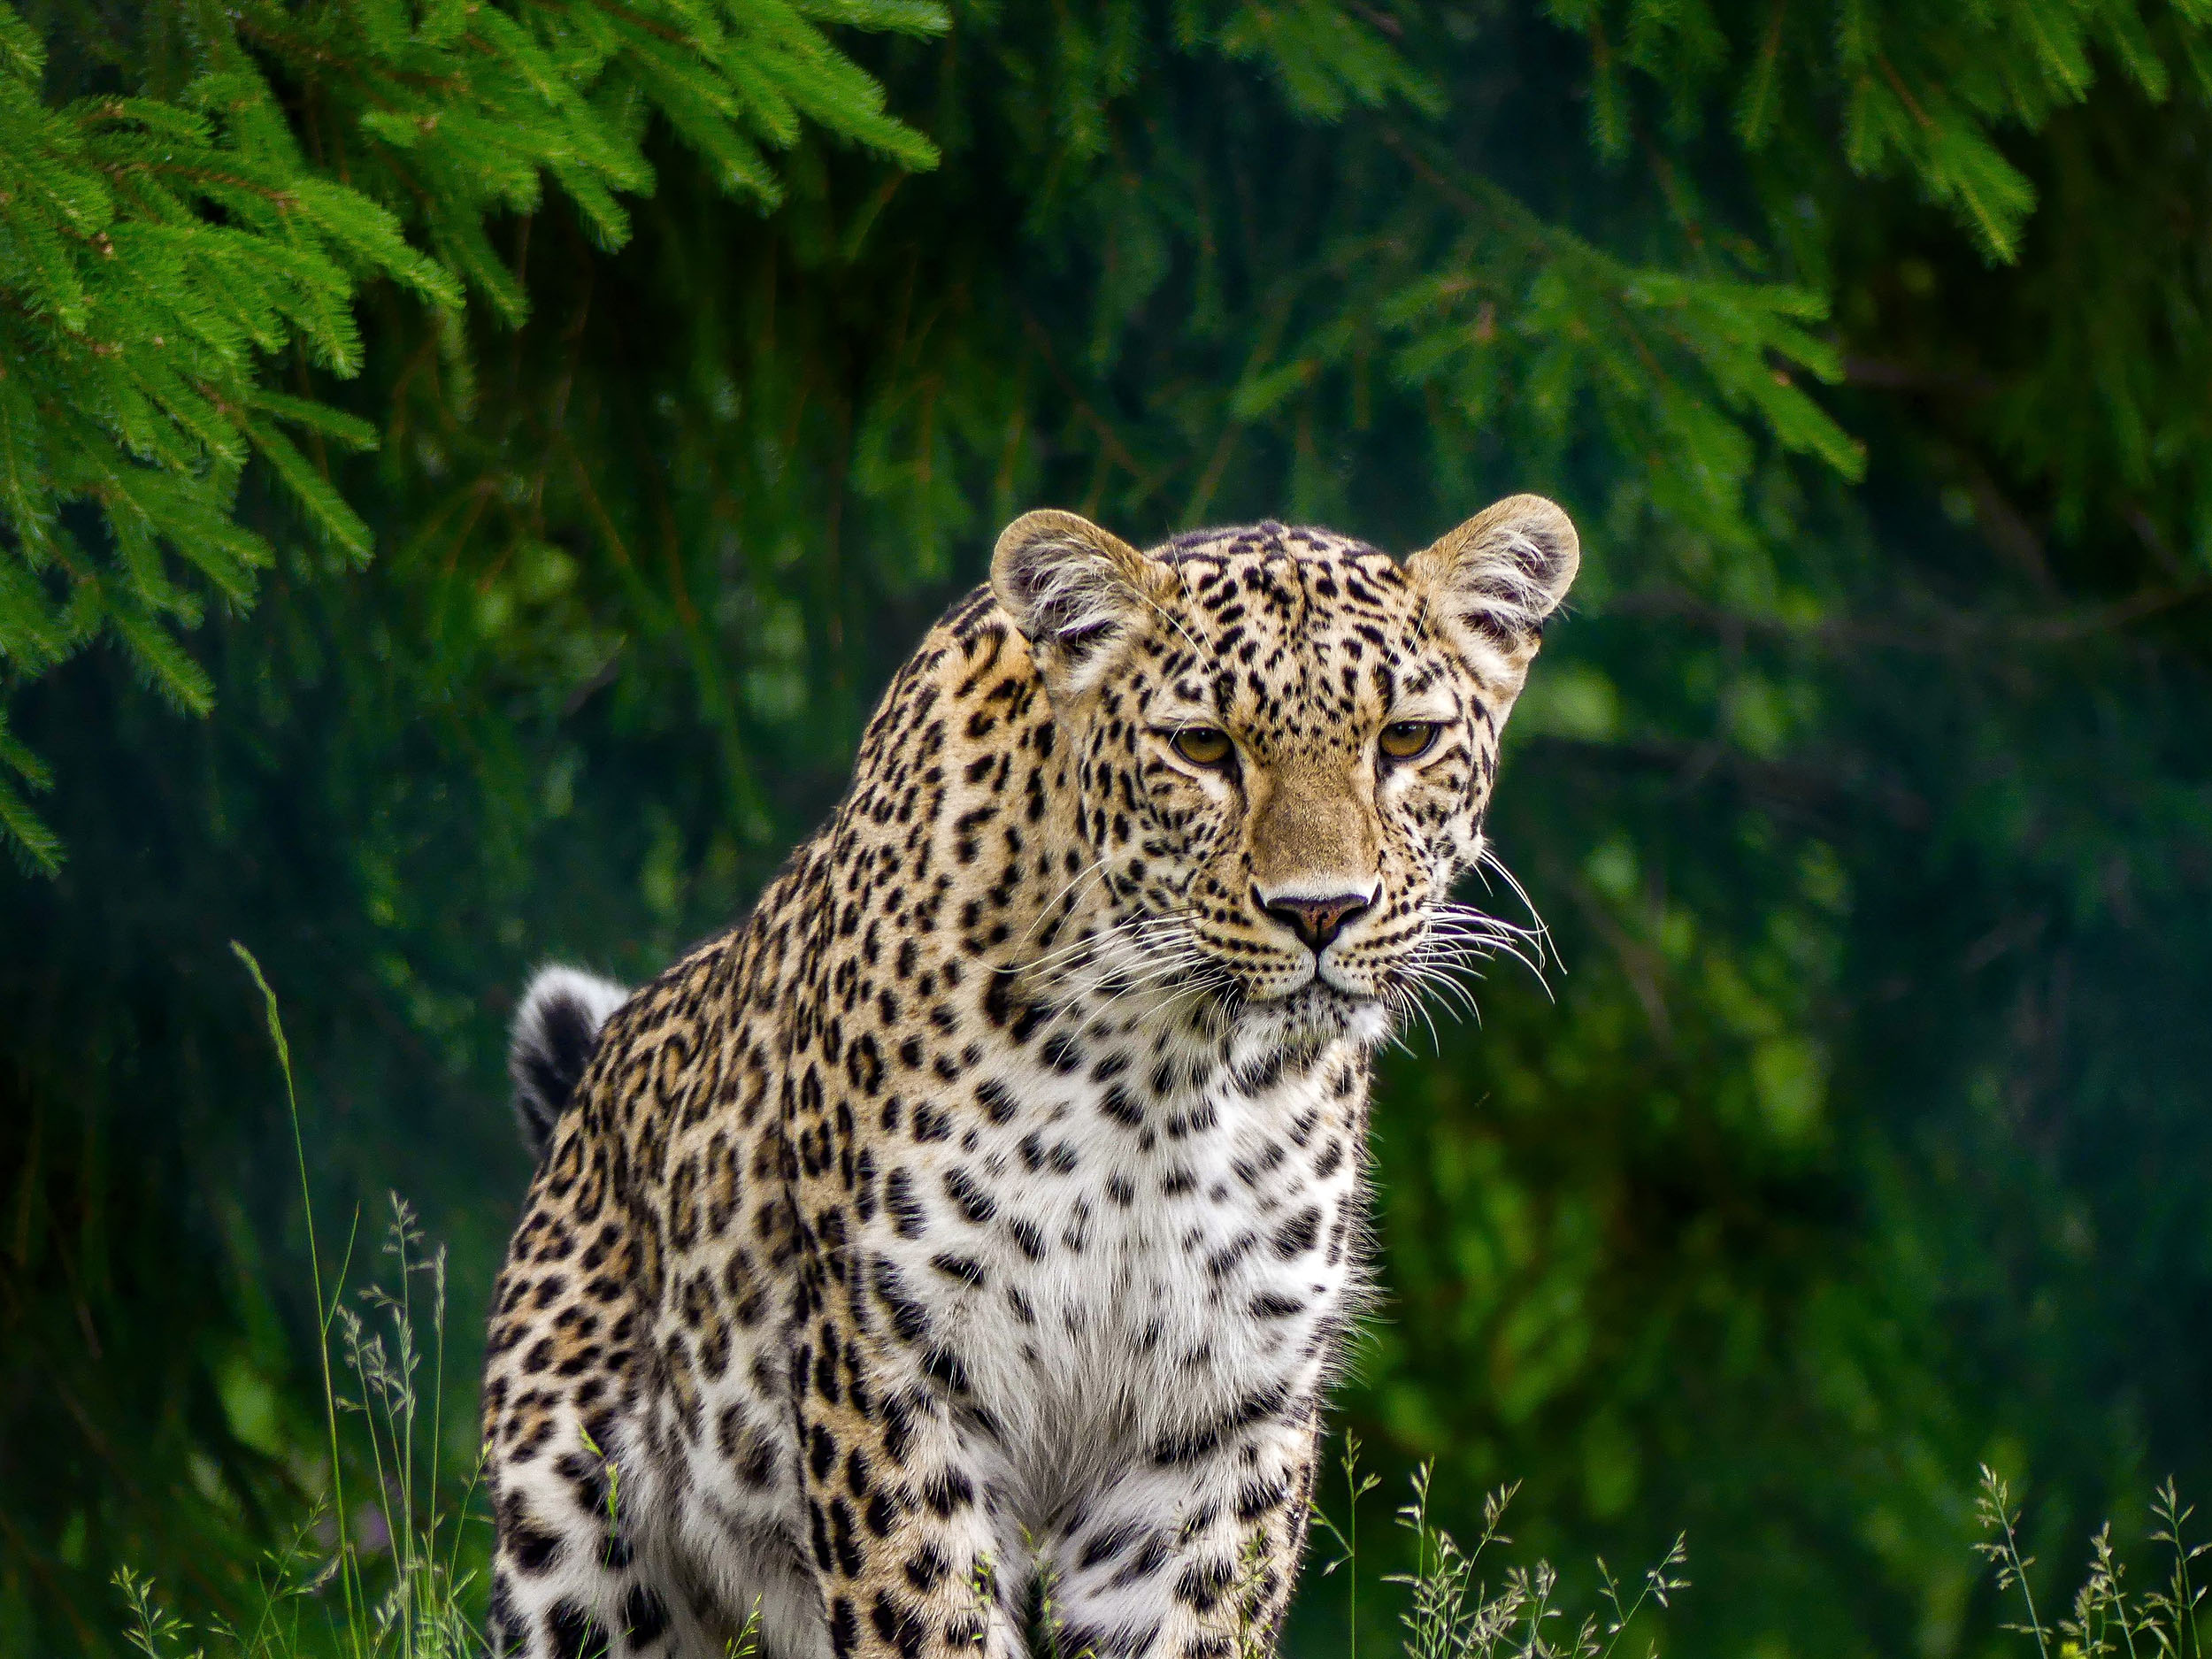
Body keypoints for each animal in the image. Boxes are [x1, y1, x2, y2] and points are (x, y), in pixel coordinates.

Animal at [479, 496, 1582, 1659]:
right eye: (1203, 746)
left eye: (1405, 739)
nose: (1321, 910)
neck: (1165, 1081)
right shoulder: (891, 1375)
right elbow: (929, 1615)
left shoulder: (1219, 1415)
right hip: (572, 1529)